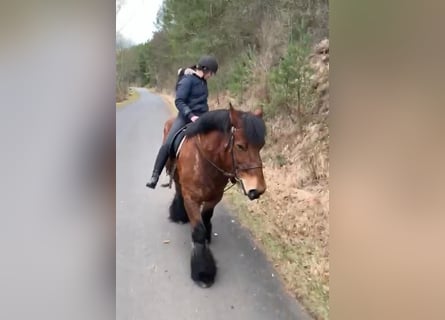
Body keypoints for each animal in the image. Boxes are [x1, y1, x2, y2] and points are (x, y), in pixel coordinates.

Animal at [161, 103, 266, 288]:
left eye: (261, 146)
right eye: (240, 146)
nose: (258, 189)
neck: (205, 160)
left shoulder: (214, 197)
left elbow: (206, 219)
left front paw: (208, 238)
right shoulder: (191, 199)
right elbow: (198, 231)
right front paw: (203, 273)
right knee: (179, 191)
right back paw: (179, 215)